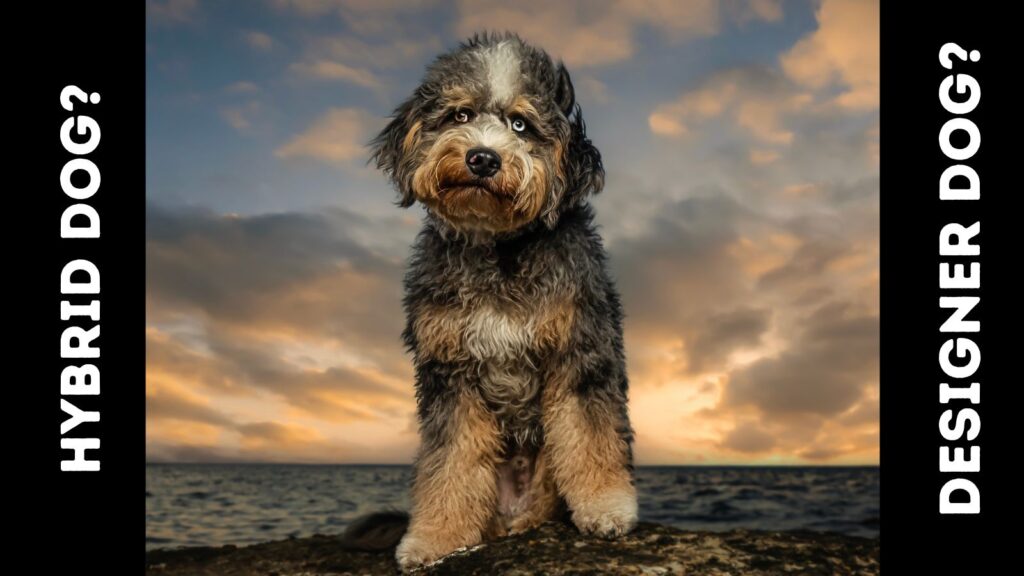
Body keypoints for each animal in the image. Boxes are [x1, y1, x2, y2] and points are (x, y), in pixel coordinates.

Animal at [364, 32, 634, 569]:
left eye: (520, 123)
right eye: (460, 114)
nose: (483, 158)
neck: (498, 250)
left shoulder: (581, 351)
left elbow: (591, 433)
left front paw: (606, 506)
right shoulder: (450, 374)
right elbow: (449, 463)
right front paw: (435, 537)